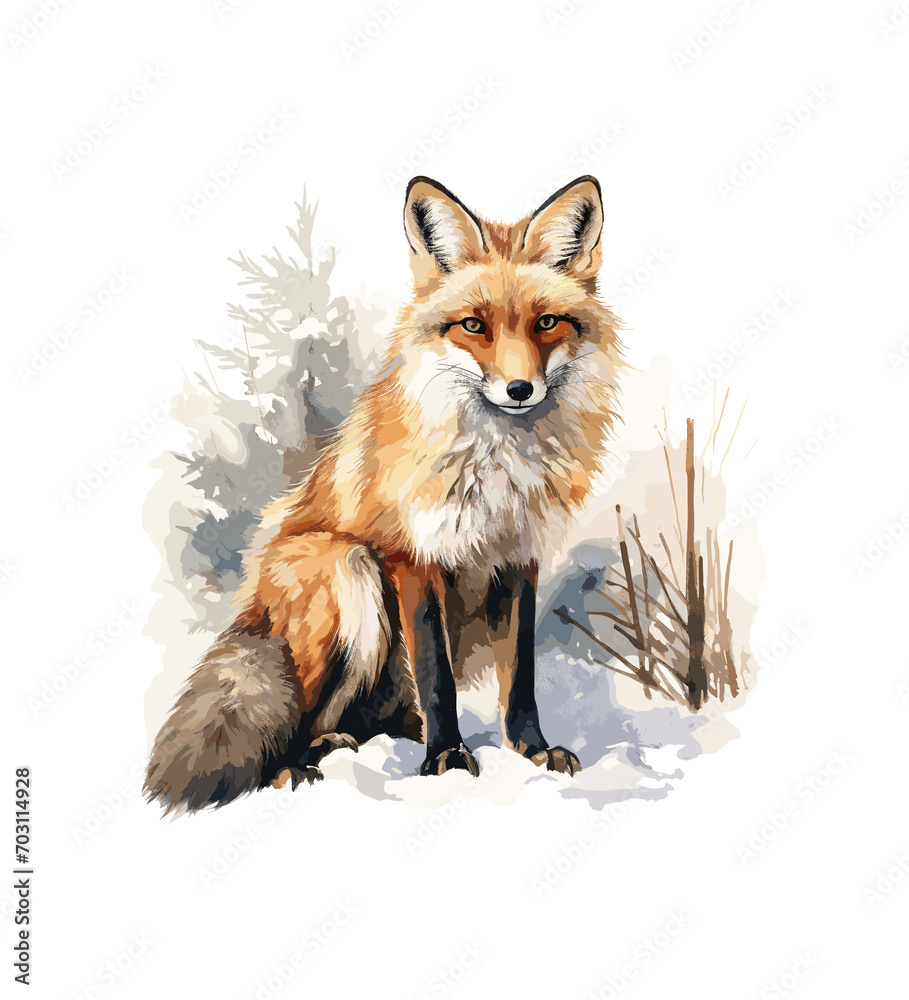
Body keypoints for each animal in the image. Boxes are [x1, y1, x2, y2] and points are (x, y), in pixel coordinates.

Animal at [145, 175, 624, 813]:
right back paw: (296, 766)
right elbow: (437, 675)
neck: (498, 469)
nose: (521, 389)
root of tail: (252, 607)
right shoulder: (411, 557)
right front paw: (447, 760)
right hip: (348, 570)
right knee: (299, 718)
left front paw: (531, 751)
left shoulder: (518, 557)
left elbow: (520, 676)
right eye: (473, 326)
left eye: (547, 323)